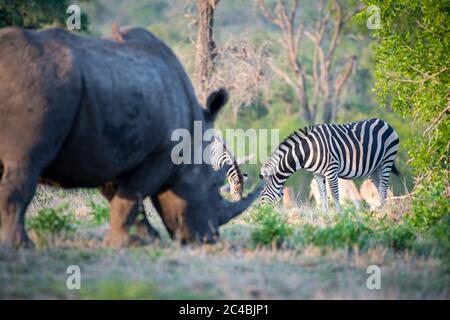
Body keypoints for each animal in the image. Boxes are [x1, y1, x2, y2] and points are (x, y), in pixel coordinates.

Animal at [260, 118, 400, 212]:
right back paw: (380, 210)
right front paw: (325, 214)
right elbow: (322, 195)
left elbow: (334, 194)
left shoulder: (331, 170)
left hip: (387, 160)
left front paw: (339, 215)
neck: (309, 150)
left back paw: (382, 212)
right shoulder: (318, 173)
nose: (260, 213)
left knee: (384, 188)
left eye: (262, 193)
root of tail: (383, 122)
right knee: (379, 188)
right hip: (375, 168)